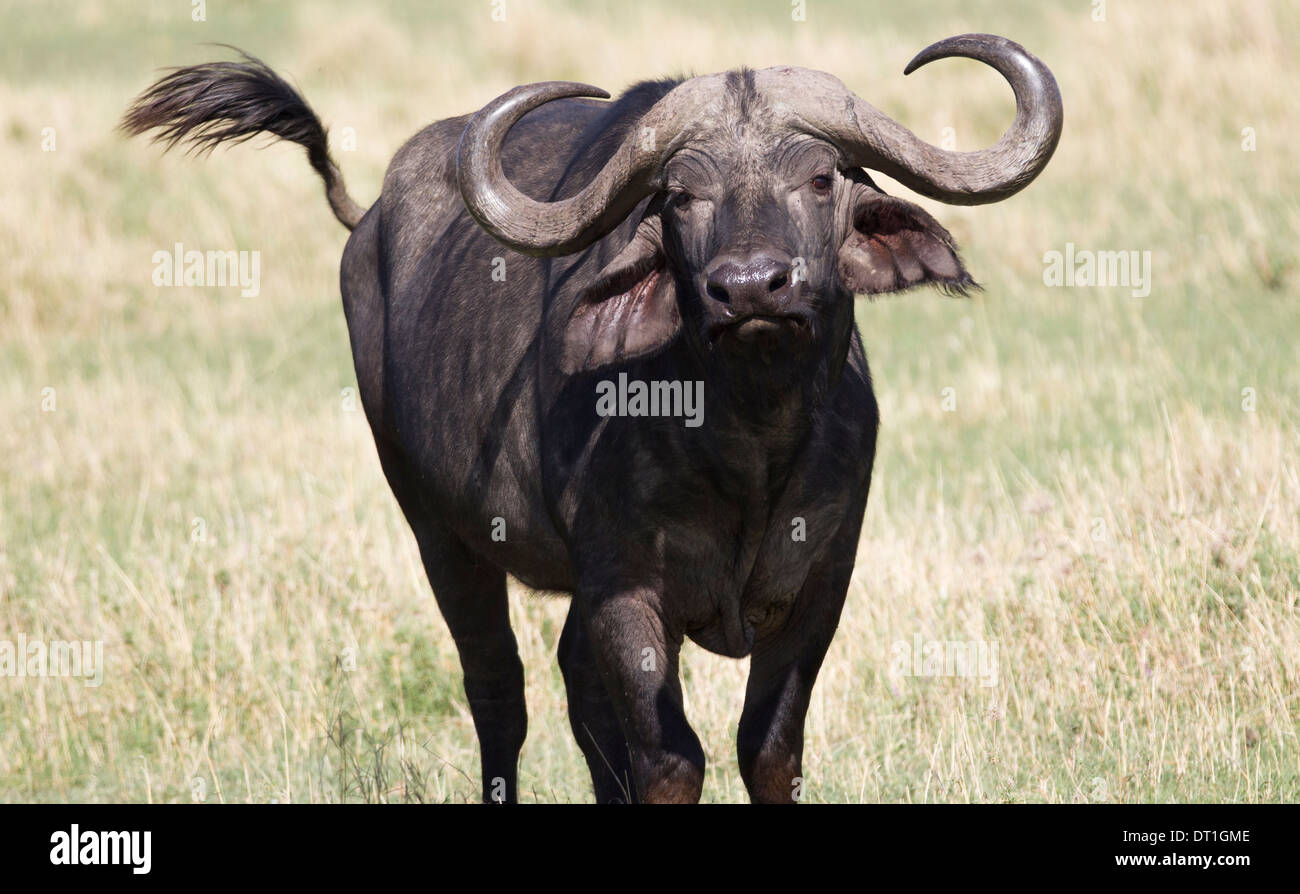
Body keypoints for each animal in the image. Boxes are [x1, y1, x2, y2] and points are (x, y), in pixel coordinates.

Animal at [123, 33, 1062, 803]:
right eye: (680, 196)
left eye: (821, 179)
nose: (750, 287)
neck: (747, 447)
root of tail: (370, 223)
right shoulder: (623, 586)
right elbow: (669, 758)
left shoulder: (822, 581)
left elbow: (767, 750)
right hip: (438, 533)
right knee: (499, 695)